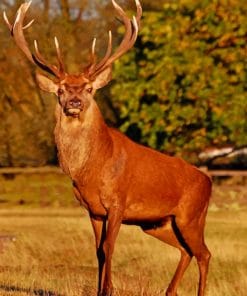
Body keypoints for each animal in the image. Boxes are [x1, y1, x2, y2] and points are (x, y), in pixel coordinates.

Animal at [4, 1, 212, 294]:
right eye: (61, 90)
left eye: (89, 88)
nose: (75, 102)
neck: (93, 170)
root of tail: (209, 181)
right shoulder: (92, 210)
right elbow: (98, 251)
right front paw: (99, 288)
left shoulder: (118, 203)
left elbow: (109, 247)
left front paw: (108, 289)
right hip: (158, 224)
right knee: (186, 251)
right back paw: (169, 290)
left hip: (191, 216)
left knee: (204, 253)